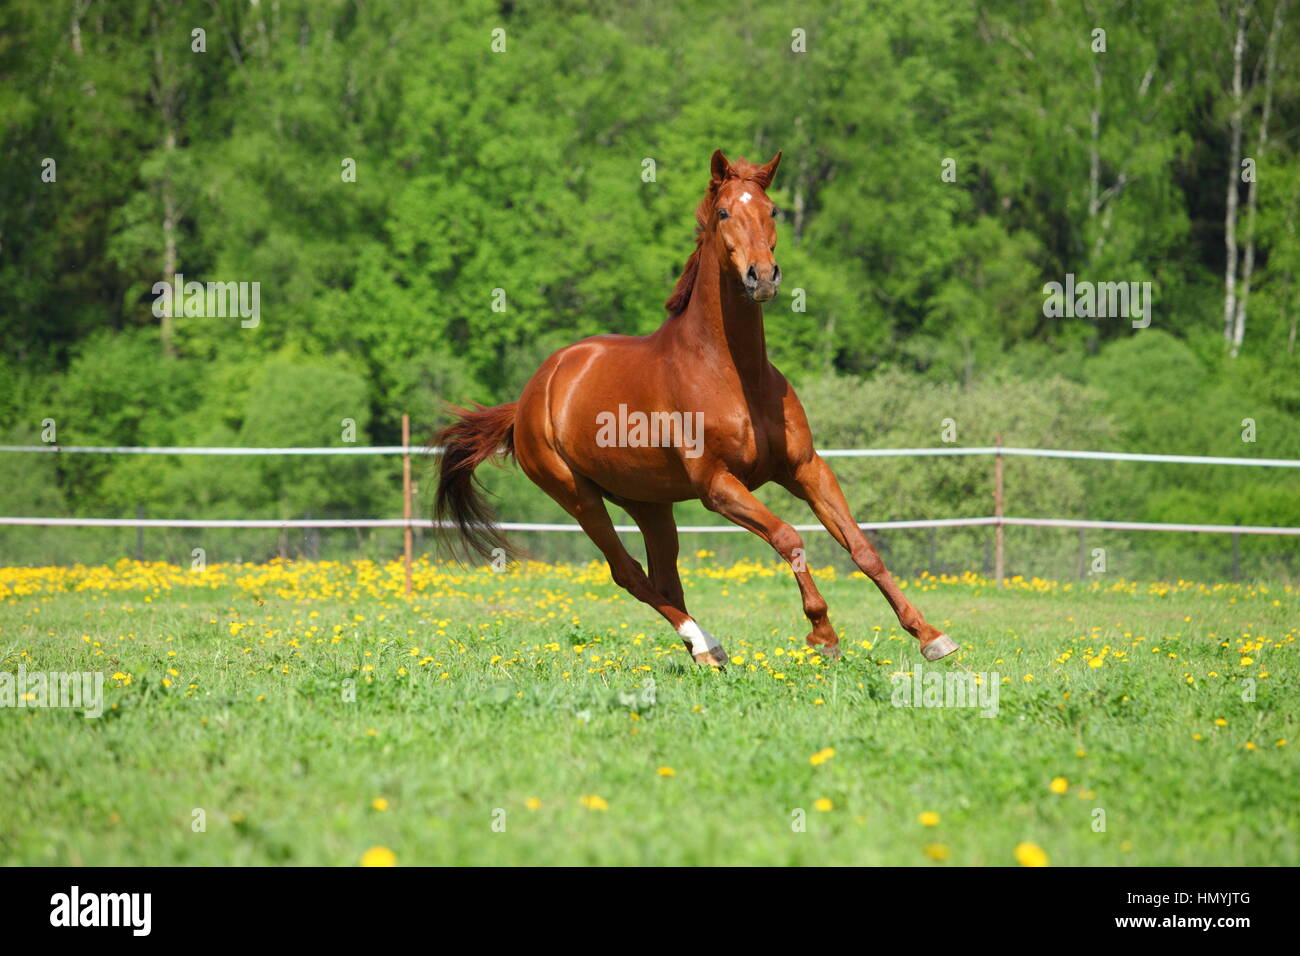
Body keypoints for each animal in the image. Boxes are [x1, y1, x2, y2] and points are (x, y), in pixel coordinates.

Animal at [433, 148, 957, 667]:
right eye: (724, 212)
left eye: (772, 211)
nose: (762, 278)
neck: (735, 374)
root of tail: (530, 396)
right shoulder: (717, 487)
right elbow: (789, 537)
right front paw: (824, 635)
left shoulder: (806, 468)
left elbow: (861, 547)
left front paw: (930, 635)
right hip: (577, 496)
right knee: (628, 572)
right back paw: (707, 643)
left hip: (648, 502)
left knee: (663, 576)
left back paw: (704, 651)